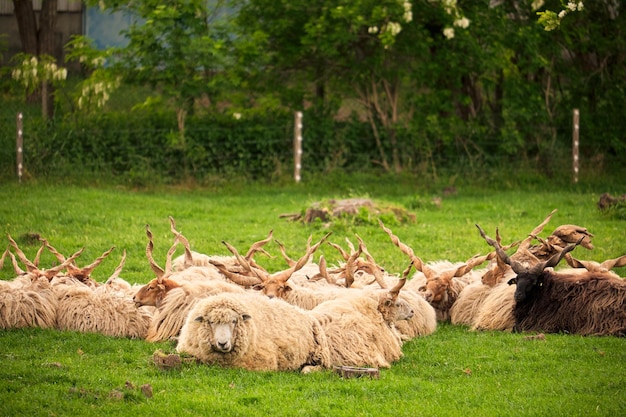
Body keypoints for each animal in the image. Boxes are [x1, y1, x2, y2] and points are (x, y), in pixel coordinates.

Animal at [176, 290, 332, 372]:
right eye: (211, 322)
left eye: (234, 321)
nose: (222, 343)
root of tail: (305, 312)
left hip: (320, 355)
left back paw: (307, 370)